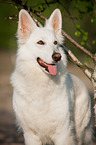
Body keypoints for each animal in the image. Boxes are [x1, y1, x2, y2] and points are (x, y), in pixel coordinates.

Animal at [10, 9, 92, 145]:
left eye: (55, 43)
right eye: (40, 42)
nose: (57, 56)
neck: (42, 84)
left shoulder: (63, 133)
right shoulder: (31, 135)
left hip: (80, 133)